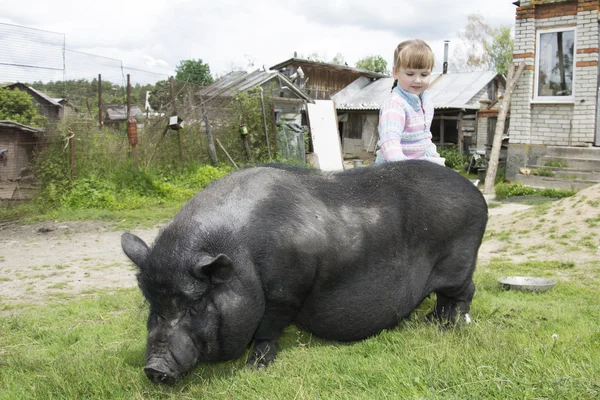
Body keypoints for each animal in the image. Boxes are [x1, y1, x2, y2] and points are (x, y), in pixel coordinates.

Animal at [120, 160, 488, 384]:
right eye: (152, 305)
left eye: (195, 304)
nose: (154, 367)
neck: (243, 257)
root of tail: (477, 193)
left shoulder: (286, 291)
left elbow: (267, 331)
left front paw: (255, 368)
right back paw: (431, 321)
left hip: (460, 263)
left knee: (464, 293)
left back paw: (448, 327)